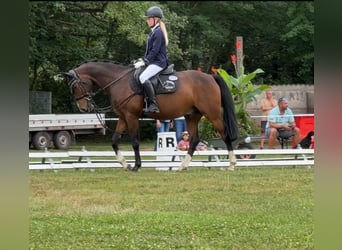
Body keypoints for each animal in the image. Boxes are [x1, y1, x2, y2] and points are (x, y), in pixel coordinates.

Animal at [62, 59, 238, 172]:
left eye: (76, 86)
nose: (83, 108)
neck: (119, 81)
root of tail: (210, 77)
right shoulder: (123, 117)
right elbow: (114, 140)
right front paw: (125, 164)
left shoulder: (131, 116)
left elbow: (134, 142)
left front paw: (136, 166)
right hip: (192, 116)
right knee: (194, 140)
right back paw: (182, 166)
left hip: (213, 115)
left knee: (225, 135)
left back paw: (231, 164)